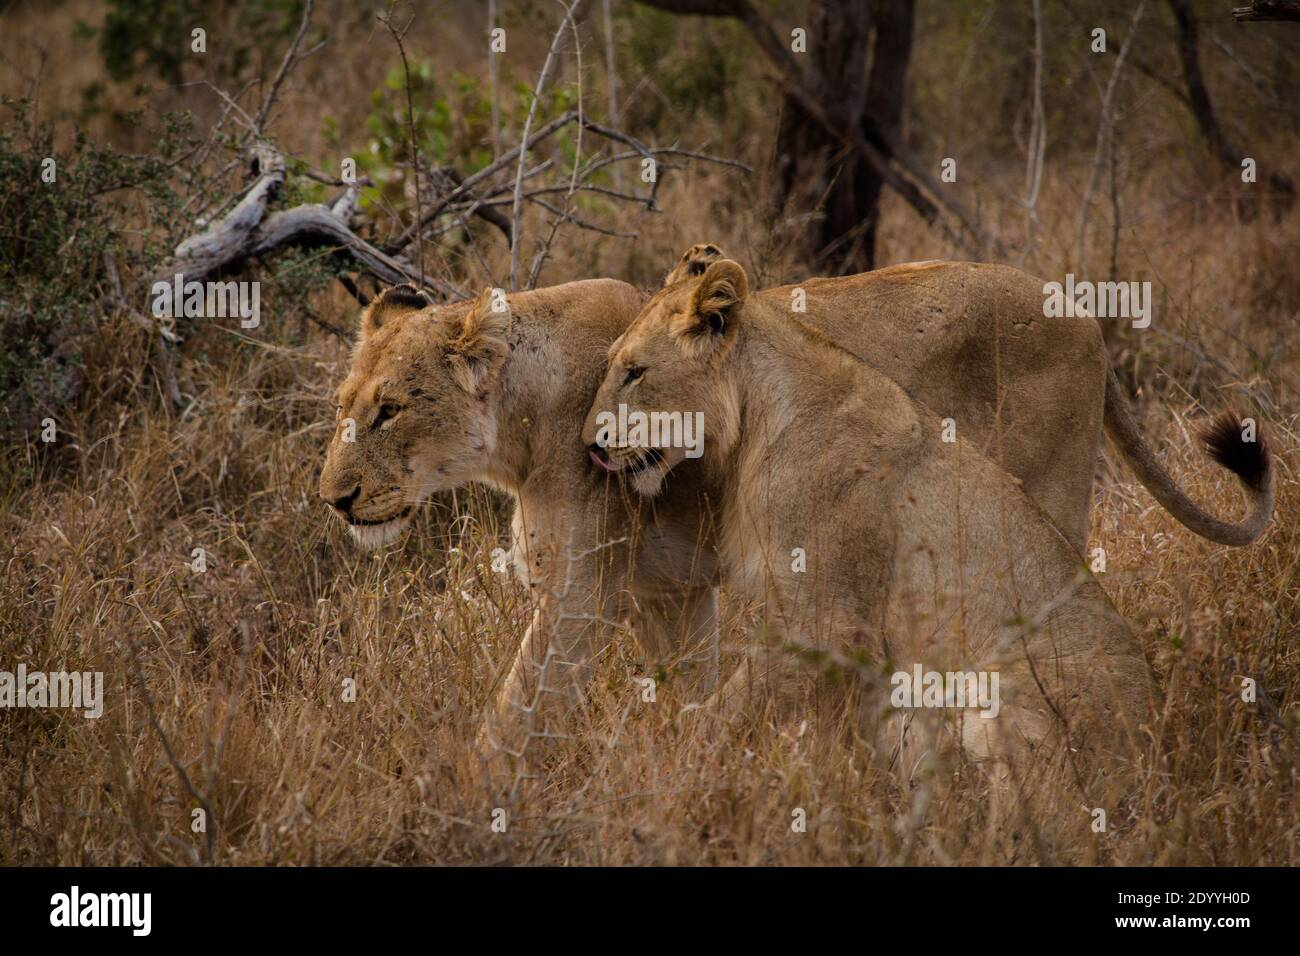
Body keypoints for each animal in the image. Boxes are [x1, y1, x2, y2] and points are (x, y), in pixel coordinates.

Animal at [579, 260, 1180, 780]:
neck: (753, 420)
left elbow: (728, 709)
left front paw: (669, 764)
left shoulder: (826, 615)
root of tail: (1157, 748)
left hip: (1010, 698)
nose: (590, 446)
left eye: (635, 373)